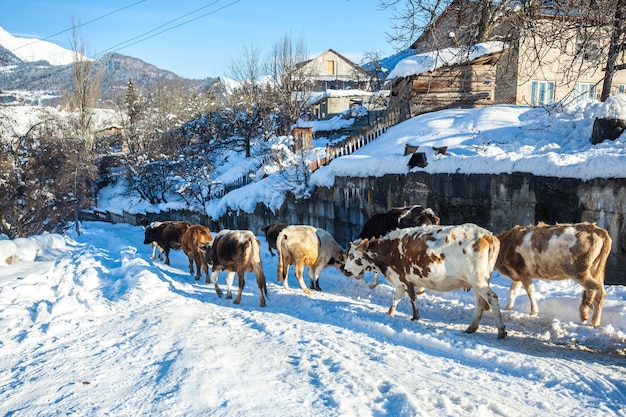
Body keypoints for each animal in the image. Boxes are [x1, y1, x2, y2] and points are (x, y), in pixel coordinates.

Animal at [344, 224, 504, 338]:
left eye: (351, 255)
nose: (345, 270)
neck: (388, 250)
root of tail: (487, 235)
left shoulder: (404, 278)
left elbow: (412, 298)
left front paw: (415, 317)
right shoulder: (399, 280)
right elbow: (396, 297)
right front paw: (390, 312)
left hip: (478, 280)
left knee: (492, 298)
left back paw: (501, 331)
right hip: (478, 282)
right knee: (480, 302)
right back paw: (472, 327)